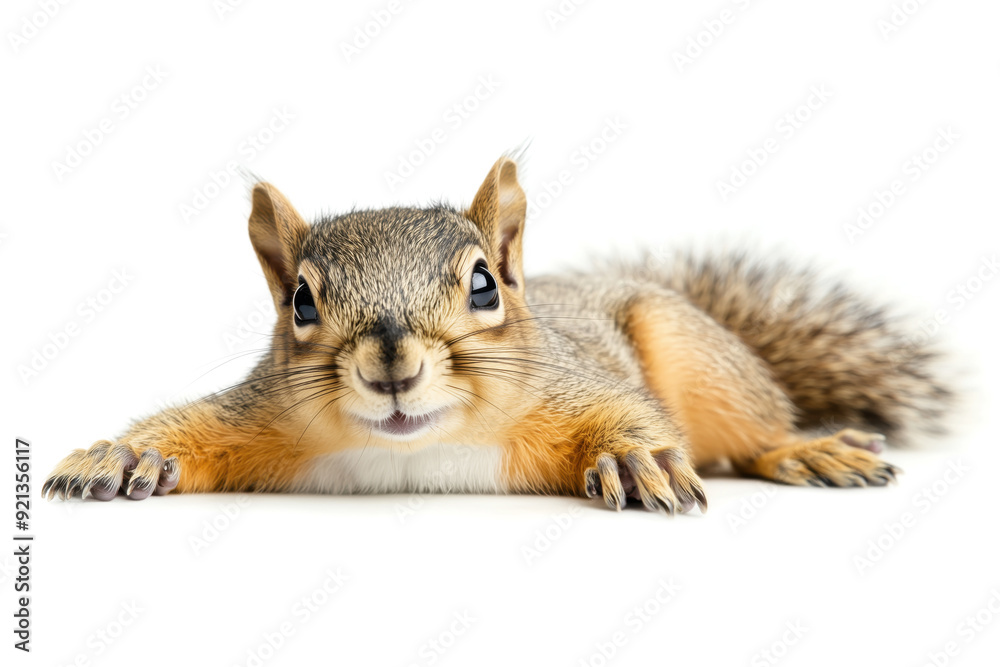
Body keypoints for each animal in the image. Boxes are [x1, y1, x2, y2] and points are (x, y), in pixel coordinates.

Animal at [41, 154, 953, 513]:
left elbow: (632, 415)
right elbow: (190, 428)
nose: (392, 365)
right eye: (299, 301)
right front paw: (122, 452)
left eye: (484, 284)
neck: (414, 455)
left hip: (698, 355)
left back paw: (805, 447)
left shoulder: (574, 386)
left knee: (757, 427)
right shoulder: (260, 416)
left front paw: (634, 458)